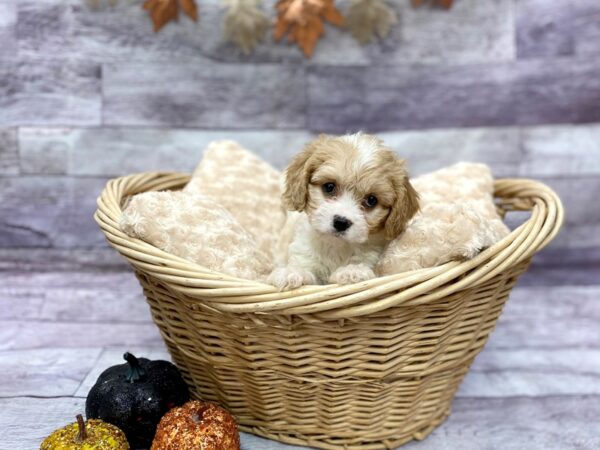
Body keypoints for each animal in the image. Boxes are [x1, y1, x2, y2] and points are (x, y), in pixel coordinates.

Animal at [270, 132, 420, 290]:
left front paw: (352, 271)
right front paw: (292, 273)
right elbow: (305, 270)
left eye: (371, 200)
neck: (337, 245)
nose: (341, 222)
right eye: (329, 187)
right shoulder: (305, 256)